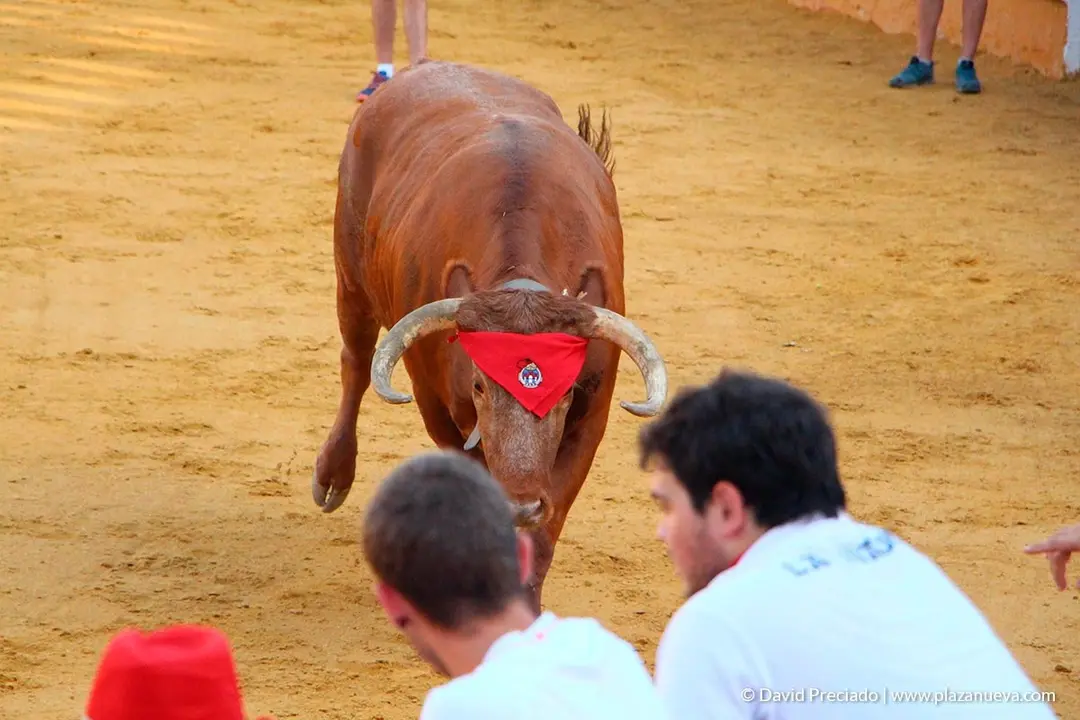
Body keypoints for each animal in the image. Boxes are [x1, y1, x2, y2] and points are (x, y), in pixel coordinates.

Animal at [312, 60, 668, 610]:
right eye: (480, 385)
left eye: (564, 392)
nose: (520, 502)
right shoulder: (434, 402)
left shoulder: (592, 416)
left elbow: (545, 531)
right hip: (349, 275)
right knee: (355, 362)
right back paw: (333, 474)